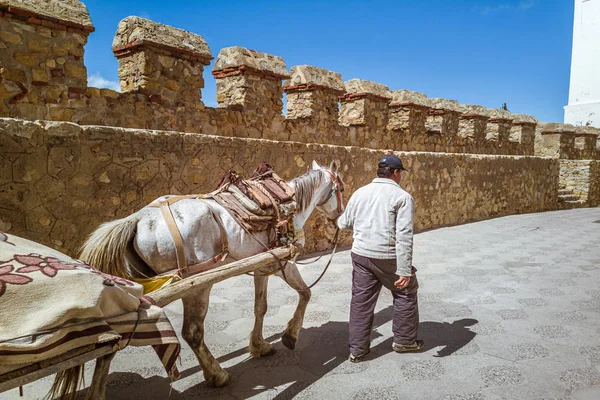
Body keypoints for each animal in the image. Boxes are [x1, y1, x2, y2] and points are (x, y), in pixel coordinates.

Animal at [77, 160, 344, 394]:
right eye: (341, 188)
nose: (340, 218)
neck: (290, 203)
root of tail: (138, 219)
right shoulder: (284, 262)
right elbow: (306, 293)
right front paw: (290, 335)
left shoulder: (263, 266)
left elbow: (261, 307)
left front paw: (259, 346)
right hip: (197, 286)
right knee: (192, 333)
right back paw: (218, 375)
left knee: (116, 338)